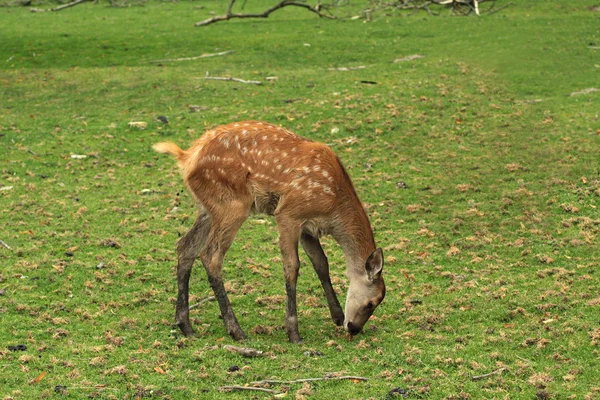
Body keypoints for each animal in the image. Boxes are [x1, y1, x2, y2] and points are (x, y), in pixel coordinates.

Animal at [154, 120, 384, 342]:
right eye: (372, 303)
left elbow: (321, 263)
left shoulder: (308, 228)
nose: (353, 328)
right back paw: (236, 330)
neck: (334, 205)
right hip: (232, 204)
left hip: (208, 209)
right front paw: (293, 333)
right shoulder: (289, 213)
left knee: (185, 246)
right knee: (211, 256)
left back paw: (186, 326)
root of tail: (187, 158)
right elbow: (292, 266)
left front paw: (336, 315)